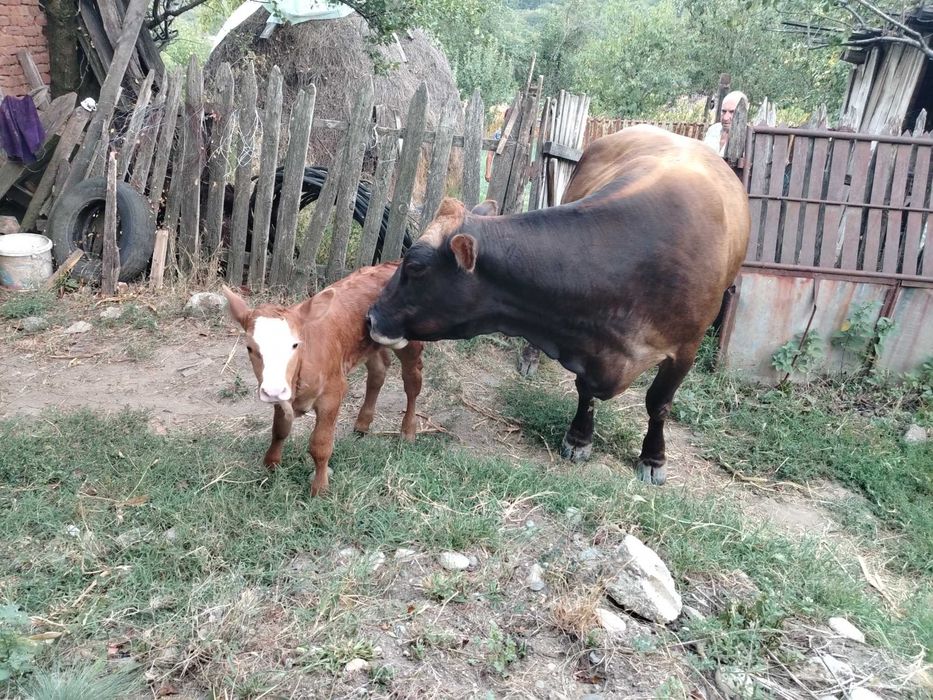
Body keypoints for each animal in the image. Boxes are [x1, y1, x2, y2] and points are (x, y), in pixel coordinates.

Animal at [222, 262, 424, 496]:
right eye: (249, 347)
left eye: (295, 345)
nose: (272, 390)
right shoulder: (283, 395)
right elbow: (279, 430)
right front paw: (271, 464)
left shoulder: (332, 393)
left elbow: (320, 445)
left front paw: (320, 488)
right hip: (368, 345)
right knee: (378, 372)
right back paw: (363, 423)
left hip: (409, 342)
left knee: (412, 382)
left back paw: (408, 431)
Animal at [366, 125, 749, 485]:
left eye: (415, 267)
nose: (371, 317)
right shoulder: (581, 336)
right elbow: (584, 389)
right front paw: (579, 438)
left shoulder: (685, 348)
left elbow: (659, 404)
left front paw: (653, 458)